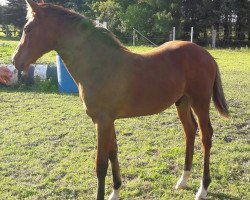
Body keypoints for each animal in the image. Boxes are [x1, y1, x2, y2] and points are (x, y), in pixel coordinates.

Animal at [12, 0, 229, 199]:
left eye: (27, 28)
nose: (15, 61)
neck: (99, 64)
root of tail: (206, 54)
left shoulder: (102, 121)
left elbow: (100, 165)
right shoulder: (108, 121)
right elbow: (113, 153)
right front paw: (115, 192)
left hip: (200, 102)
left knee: (206, 136)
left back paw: (202, 189)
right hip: (182, 102)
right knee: (190, 131)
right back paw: (183, 181)